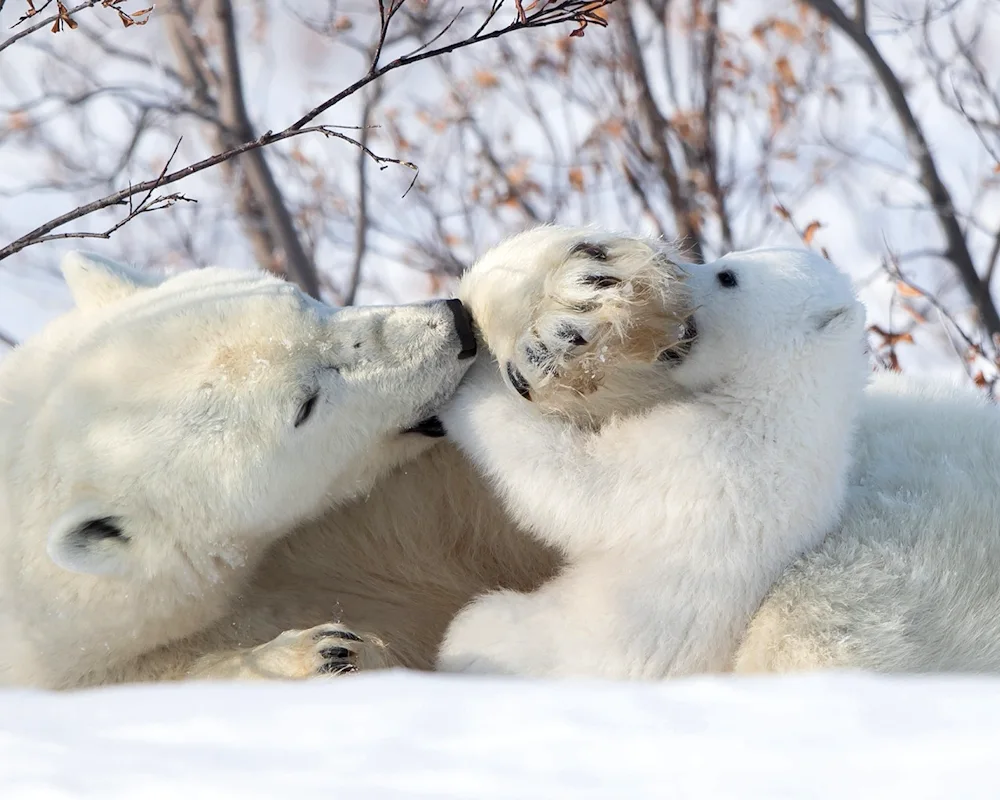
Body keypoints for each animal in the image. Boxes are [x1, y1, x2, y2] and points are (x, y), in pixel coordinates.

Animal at [1, 225, 1000, 688]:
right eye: (304, 405)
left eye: (307, 299)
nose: (449, 325)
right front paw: (323, 654)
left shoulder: (402, 499)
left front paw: (578, 296)